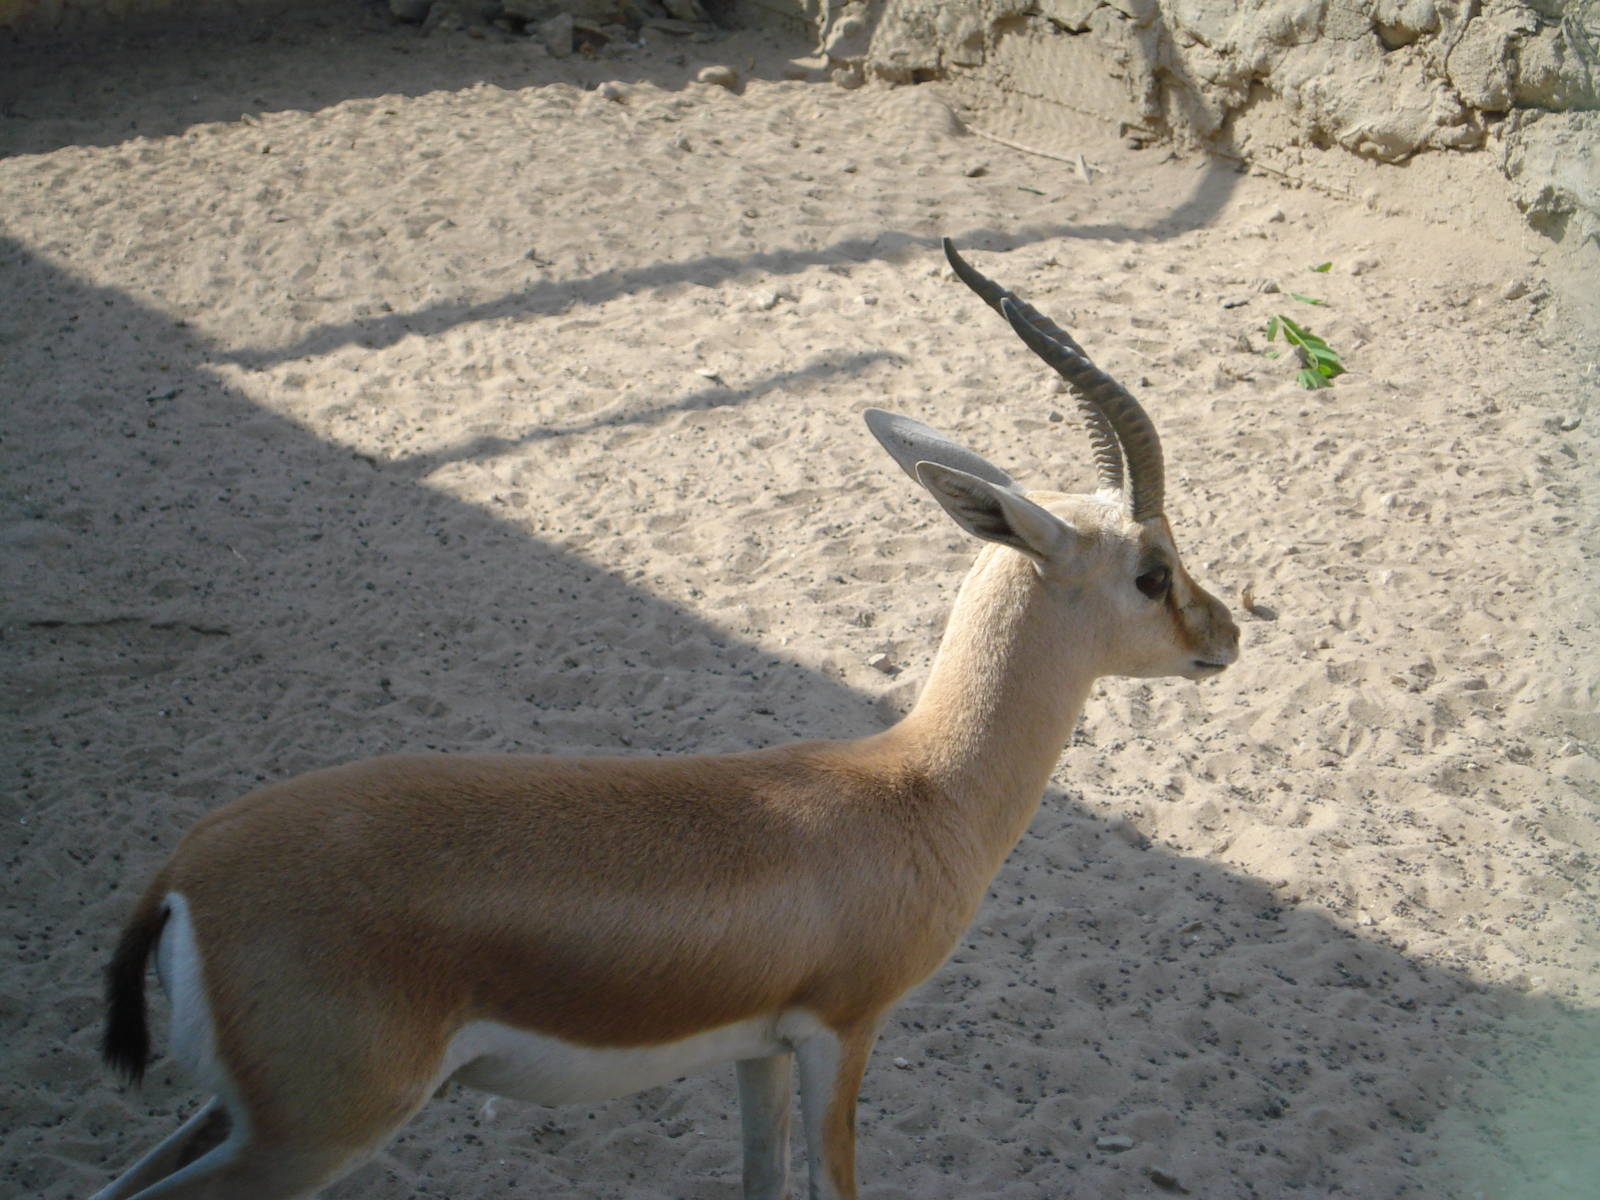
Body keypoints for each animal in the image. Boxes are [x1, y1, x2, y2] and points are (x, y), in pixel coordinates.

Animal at [90, 239, 1239, 1200]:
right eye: (1152, 571)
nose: (1224, 633)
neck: (916, 789)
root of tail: (186, 873)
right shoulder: (841, 1033)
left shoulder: (759, 1050)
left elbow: (762, 1183)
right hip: (314, 1135)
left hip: (247, 1118)